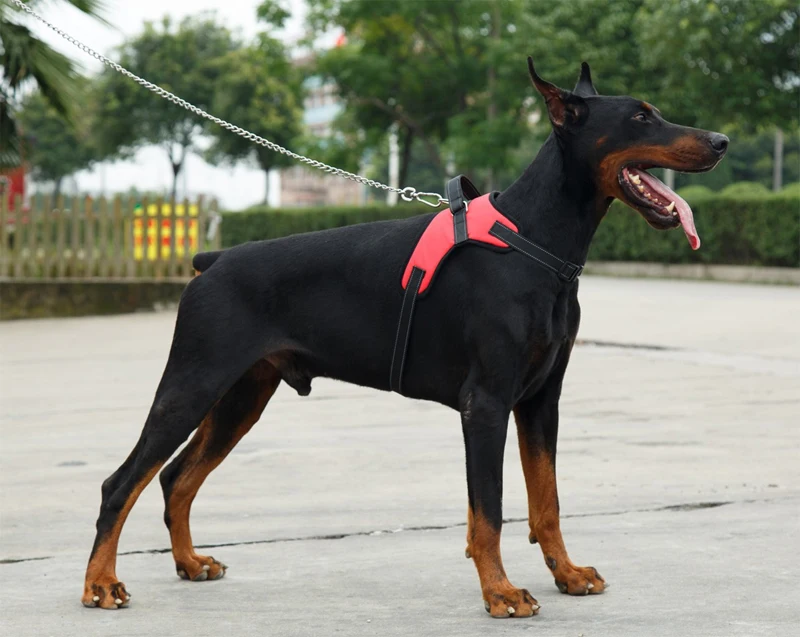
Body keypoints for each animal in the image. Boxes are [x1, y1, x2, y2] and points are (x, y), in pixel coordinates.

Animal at [81, 58, 728, 617]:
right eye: (640, 117)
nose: (721, 140)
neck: (535, 242)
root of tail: (211, 260)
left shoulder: (543, 399)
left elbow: (547, 501)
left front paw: (566, 574)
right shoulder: (486, 404)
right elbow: (489, 511)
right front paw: (500, 592)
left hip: (244, 394)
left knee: (175, 477)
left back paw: (190, 563)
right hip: (193, 382)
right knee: (123, 481)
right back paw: (101, 584)